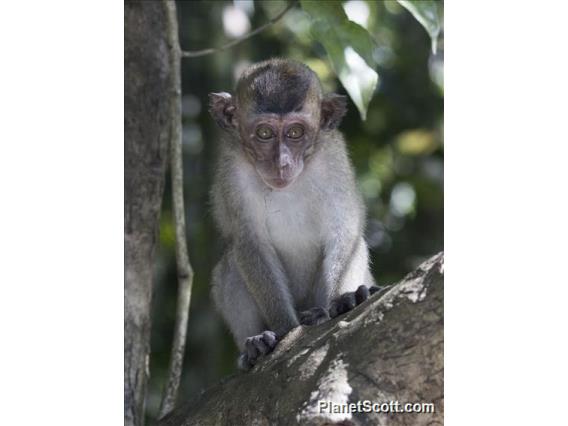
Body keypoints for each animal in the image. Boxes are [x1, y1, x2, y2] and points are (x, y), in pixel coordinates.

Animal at [207, 57, 378, 370]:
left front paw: (346, 300)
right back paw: (254, 345)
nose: (282, 163)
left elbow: (345, 231)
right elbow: (249, 243)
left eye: (295, 132)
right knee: (230, 266)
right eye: (264, 133)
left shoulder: (332, 158)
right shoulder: (232, 172)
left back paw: (327, 311)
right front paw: (286, 330)